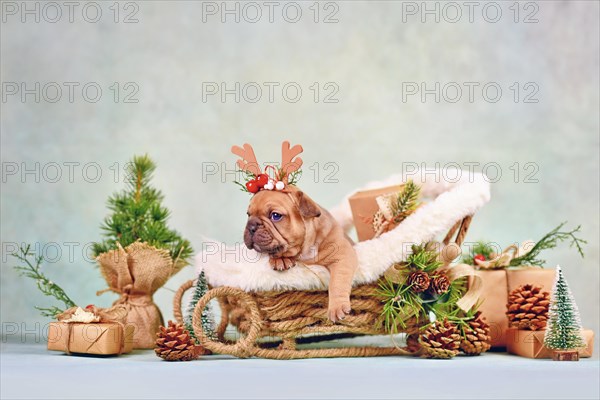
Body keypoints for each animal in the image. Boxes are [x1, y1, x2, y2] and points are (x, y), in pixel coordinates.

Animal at [246, 186, 358, 324]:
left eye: (275, 216)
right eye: (248, 214)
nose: (251, 225)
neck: (305, 251)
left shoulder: (342, 254)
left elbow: (337, 281)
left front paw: (337, 307)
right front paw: (281, 259)